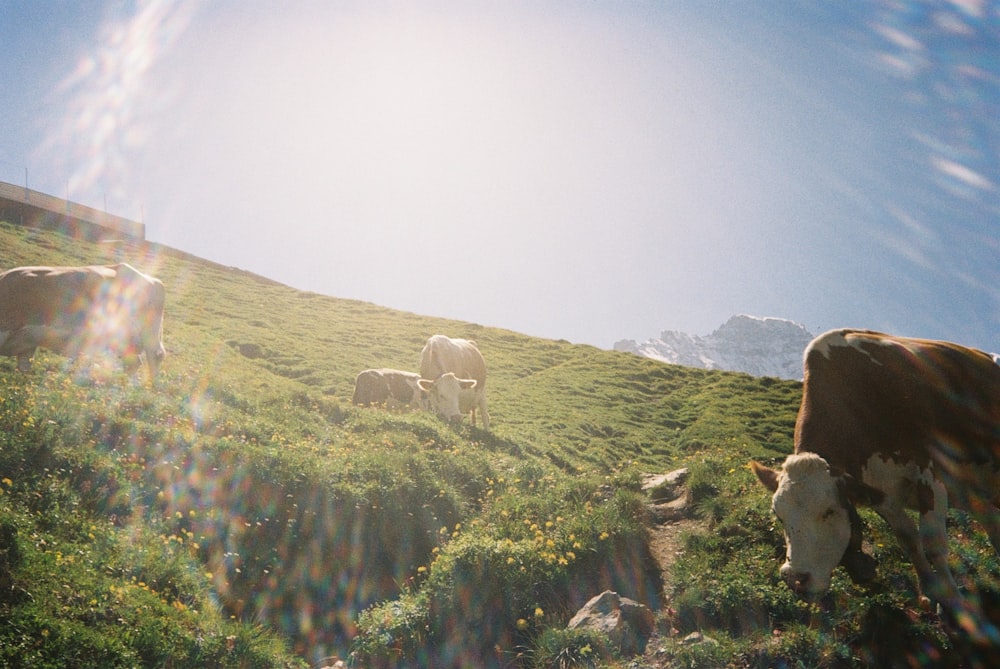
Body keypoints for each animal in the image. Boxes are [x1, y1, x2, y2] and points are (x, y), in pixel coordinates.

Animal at [0, 260, 166, 378]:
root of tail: (151, 279)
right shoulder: (28, 341)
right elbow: (24, 367)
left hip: (149, 335)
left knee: (155, 357)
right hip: (124, 340)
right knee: (133, 363)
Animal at [752, 328, 1000, 640]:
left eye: (829, 511)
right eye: (779, 516)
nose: (795, 578)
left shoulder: (930, 474)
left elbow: (933, 543)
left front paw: (953, 605)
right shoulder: (880, 492)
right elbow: (908, 538)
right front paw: (929, 592)